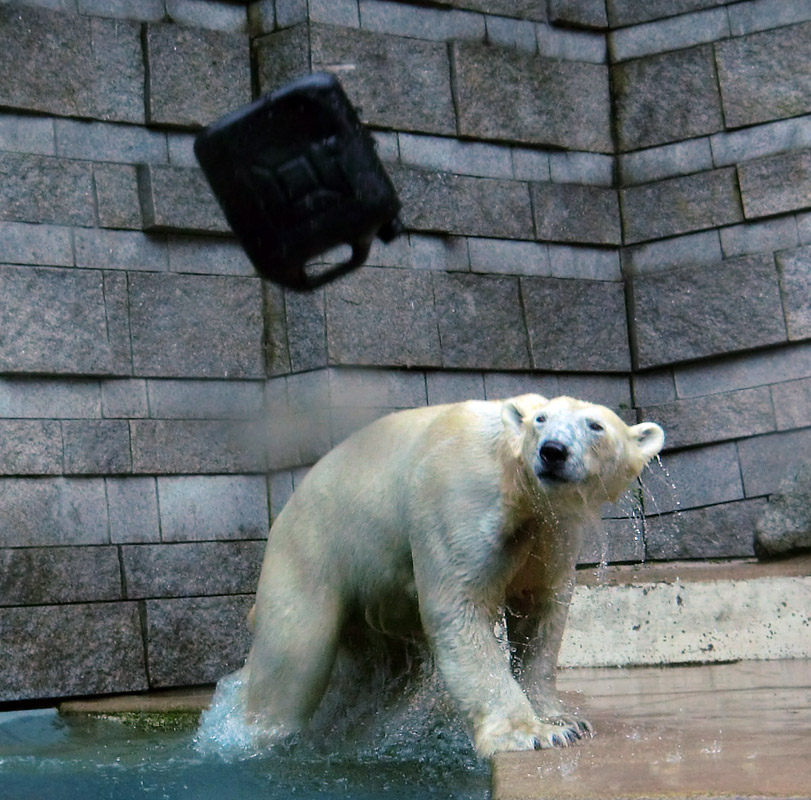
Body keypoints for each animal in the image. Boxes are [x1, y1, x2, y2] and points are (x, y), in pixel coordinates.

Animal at [244, 394, 664, 756]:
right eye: (541, 421)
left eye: (595, 425)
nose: (553, 451)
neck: (518, 483)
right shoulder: (459, 496)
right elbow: (461, 609)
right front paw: (531, 733)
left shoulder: (551, 529)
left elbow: (540, 613)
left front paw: (564, 720)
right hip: (312, 548)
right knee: (294, 660)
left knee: (375, 676)